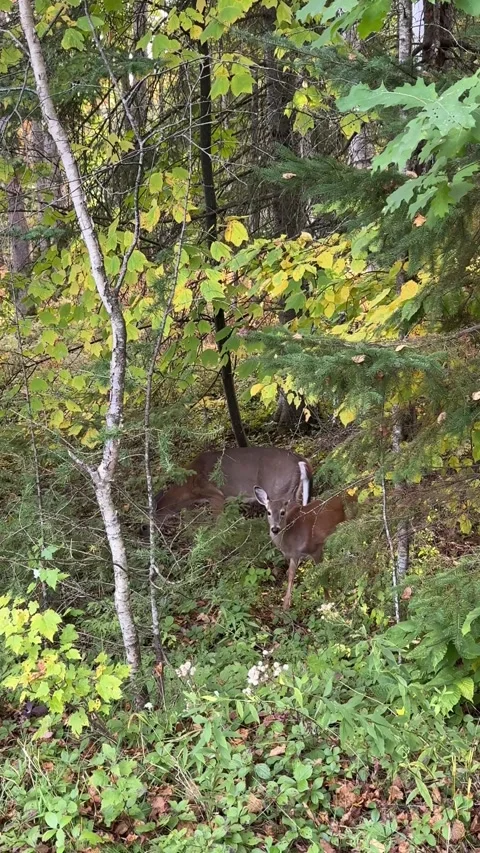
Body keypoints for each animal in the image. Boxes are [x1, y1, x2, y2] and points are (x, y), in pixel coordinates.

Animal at [254, 464, 354, 610]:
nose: (275, 529)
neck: (290, 539)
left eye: (283, 512)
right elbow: (290, 575)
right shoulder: (294, 555)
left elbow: (321, 574)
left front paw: (328, 600)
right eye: (268, 512)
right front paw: (285, 605)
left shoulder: (316, 548)